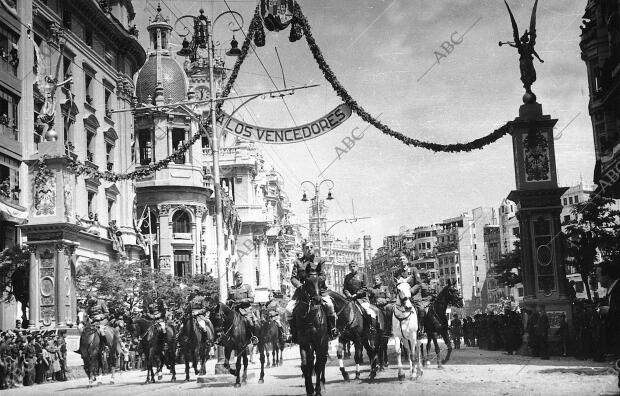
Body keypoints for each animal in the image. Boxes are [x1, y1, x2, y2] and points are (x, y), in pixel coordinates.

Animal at [296, 264, 330, 396]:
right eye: (307, 281)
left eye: (321, 281)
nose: (317, 300)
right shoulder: (305, 343)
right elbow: (306, 366)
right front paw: (309, 389)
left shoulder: (320, 342)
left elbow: (318, 365)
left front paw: (318, 390)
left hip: (324, 344)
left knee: (322, 361)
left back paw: (323, 384)